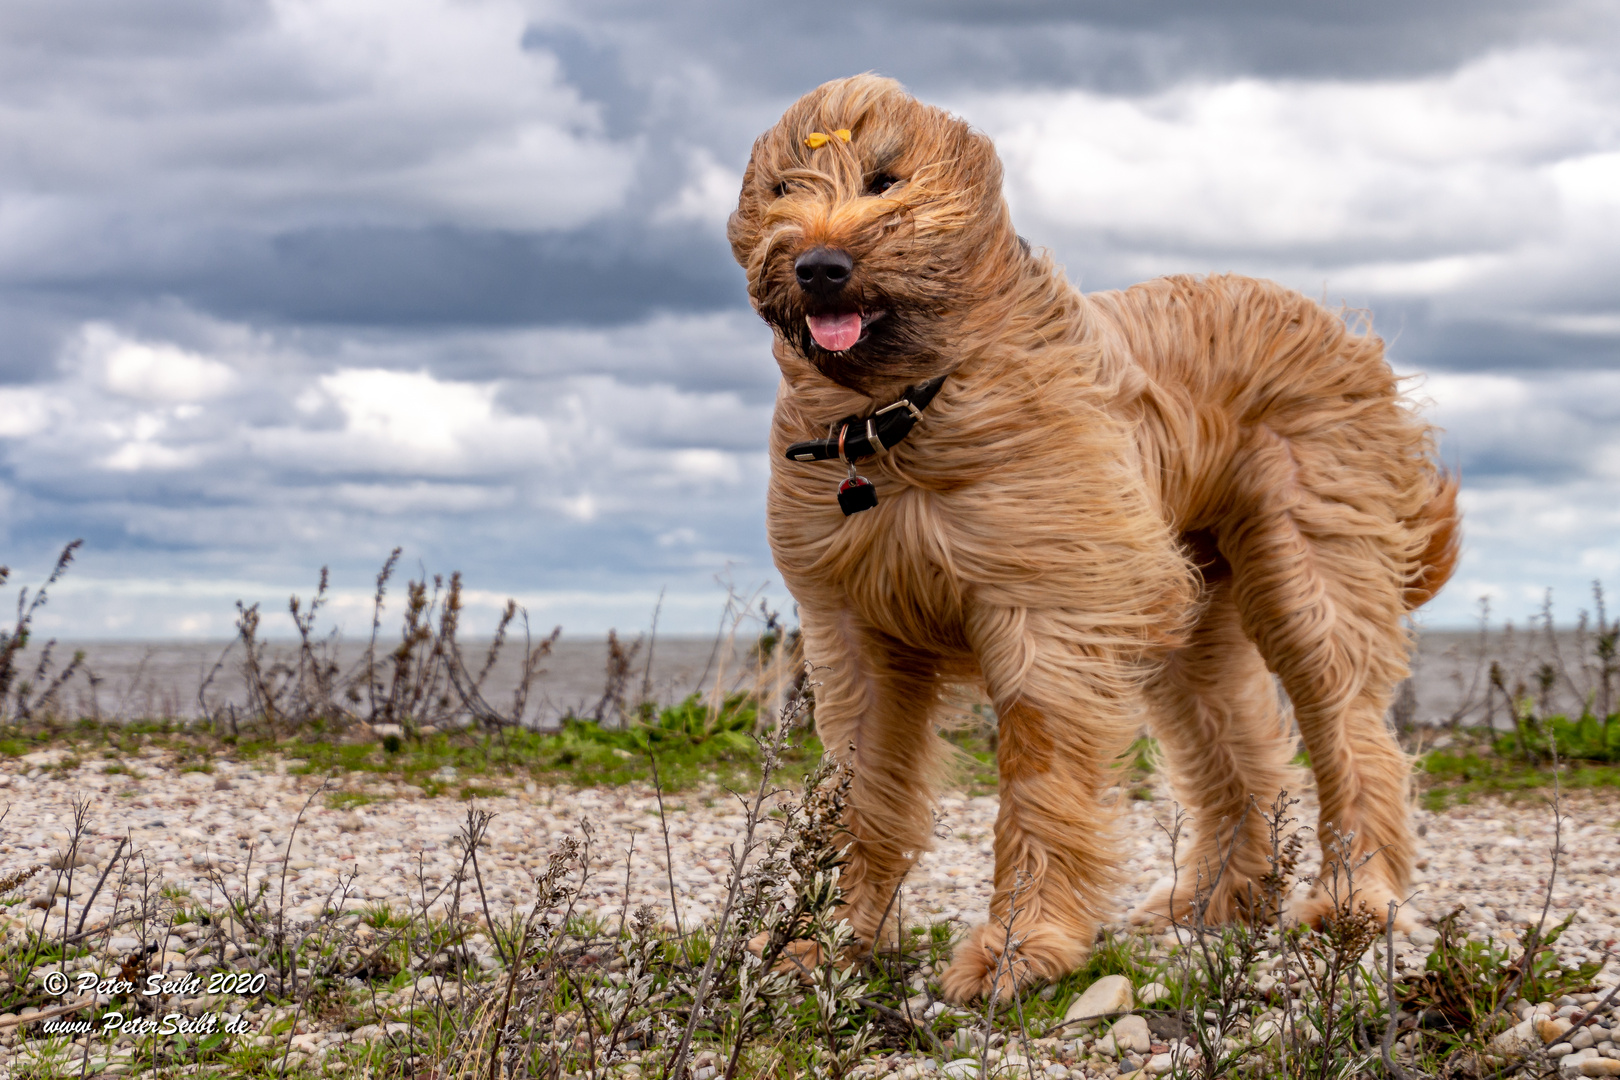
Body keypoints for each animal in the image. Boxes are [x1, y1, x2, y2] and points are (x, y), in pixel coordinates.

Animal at [729, 76, 1464, 1003]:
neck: (899, 414)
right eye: (784, 188)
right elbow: (859, 789)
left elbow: (1040, 784)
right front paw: (824, 941)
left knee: (1353, 732)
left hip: (1311, 568)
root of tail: (1340, 328)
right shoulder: (853, 626)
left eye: (886, 180)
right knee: (1239, 748)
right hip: (1192, 603)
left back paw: (1352, 897)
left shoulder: (1047, 611)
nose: (818, 267)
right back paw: (1219, 897)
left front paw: (1019, 947)